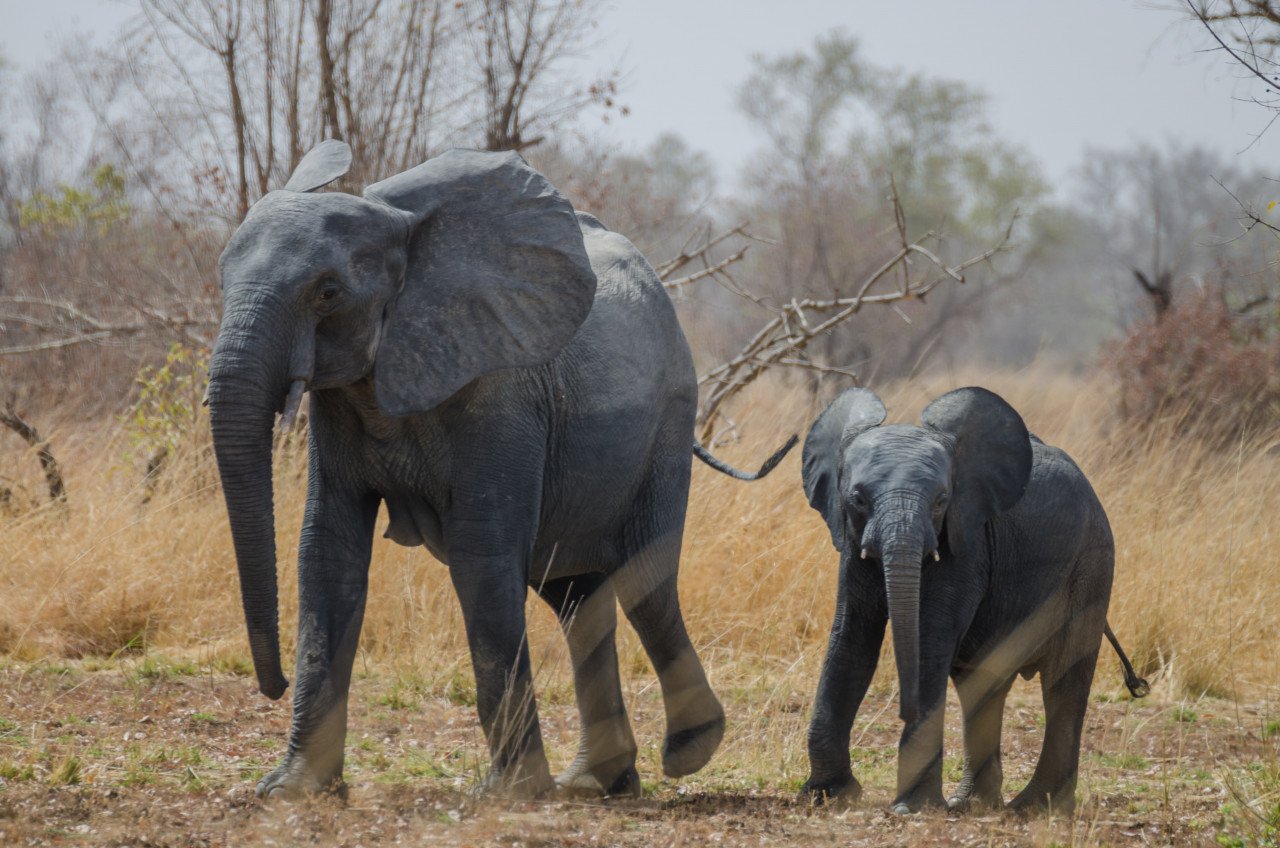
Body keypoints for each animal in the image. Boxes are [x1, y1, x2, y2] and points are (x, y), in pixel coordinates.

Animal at [204, 140, 788, 804]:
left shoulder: (501, 391)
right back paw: (596, 782)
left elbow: (481, 554)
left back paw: (689, 751)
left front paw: (509, 795)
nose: (271, 686)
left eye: (327, 292)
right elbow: (327, 552)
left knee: (646, 583)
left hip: (666, 419)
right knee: (576, 597)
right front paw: (292, 791)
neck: (403, 233)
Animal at [798, 389, 1152, 819]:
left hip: (1092, 565)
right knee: (981, 683)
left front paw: (910, 808)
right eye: (858, 498)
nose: (903, 710)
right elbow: (851, 640)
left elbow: (930, 639)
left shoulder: (967, 543)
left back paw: (1037, 809)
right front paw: (826, 795)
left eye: (941, 501)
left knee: (1064, 683)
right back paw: (973, 803)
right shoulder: (851, 540)